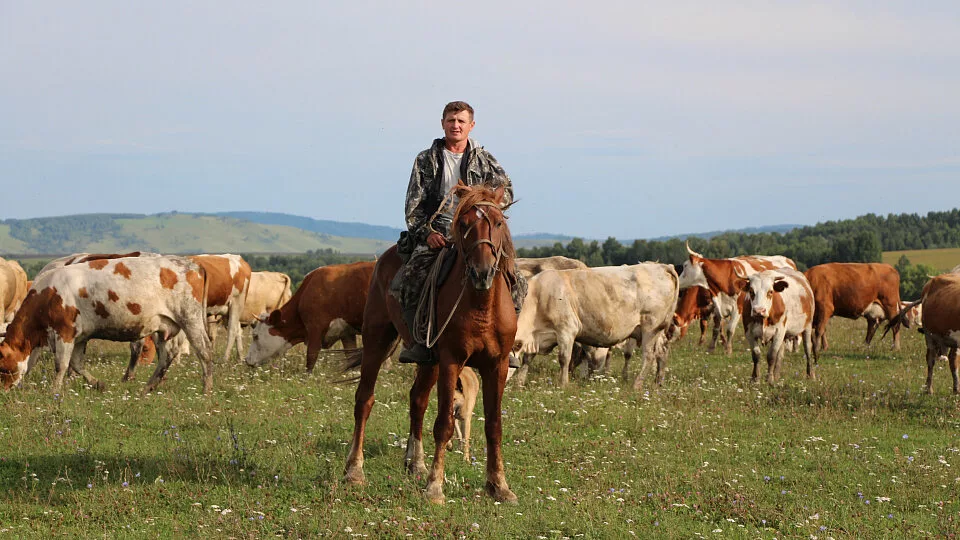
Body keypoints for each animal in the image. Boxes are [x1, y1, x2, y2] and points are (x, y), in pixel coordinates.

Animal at [0, 255, 212, 394]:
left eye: (2, 368)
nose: (4, 392)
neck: (49, 294)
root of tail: (193, 264)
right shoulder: (80, 336)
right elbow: (76, 364)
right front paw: (98, 384)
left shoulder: (65, 332)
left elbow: (61, 365)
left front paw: (54, 392)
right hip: (166, 326)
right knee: (167, 355)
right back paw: (148, 387)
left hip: (190, 319)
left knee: (204, 350)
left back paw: (206, 389)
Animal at [244, 260, 376, 372]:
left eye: (255, 336)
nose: (247, 360)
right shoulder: (346, 332)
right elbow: (350, 358)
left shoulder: (315, 328)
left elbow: (311, 358)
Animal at [344, 184, 520, 504]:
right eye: (463, 224)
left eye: (499, 222)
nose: (482, 272)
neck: (481, 306)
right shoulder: (451, 361)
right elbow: (444, 425)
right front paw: (435, 487)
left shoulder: (497, 365)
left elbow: (494, 425)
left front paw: (499, 485)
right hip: (377, 339)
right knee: (364, 400)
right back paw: (354, 471)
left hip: (428, 361)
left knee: (417, 400)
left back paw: (415, 464)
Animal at [512, 264, 680, 390]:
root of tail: (662, 266)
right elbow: (527, 358)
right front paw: (519, 383)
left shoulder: (567, 330)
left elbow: (564, 359)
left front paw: (563, 384)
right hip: (658, 332)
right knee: (662, 352)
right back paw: (658, 382)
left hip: (650, 328)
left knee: (649, 356)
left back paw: (637, 384)